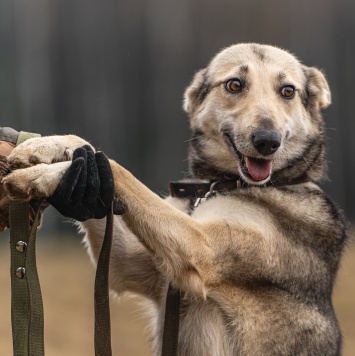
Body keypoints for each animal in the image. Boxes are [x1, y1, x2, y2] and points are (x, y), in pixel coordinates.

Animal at [2, 44, 348, 356]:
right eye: (235, 84)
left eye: (288, 91)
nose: (268, 142)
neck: (221, 186)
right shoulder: (137, 269)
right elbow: (90, 152)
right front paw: (44, 150)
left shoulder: (198, 248)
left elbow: (116, 169)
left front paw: (39, 175)